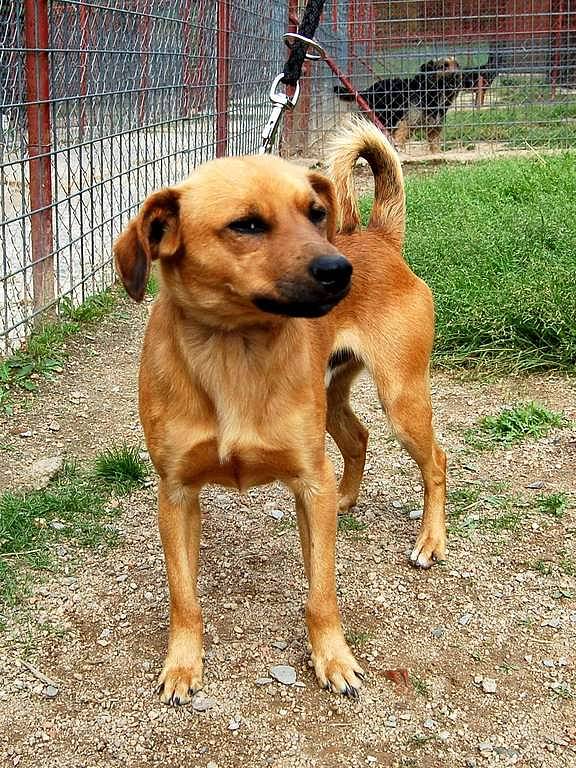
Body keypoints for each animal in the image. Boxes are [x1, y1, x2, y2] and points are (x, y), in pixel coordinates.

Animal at [112, 117, 446, 704]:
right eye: (246, 225)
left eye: (315, 213)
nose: (340, 270)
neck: (235, 350)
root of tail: (376, 238)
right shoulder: (176, 494)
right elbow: (183, 596)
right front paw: (182, 664)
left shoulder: (308, 479)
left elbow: (322, 592)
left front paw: (334, 659)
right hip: (332, 399)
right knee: (358, 438)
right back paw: (347, 498)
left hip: (402, 397)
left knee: (436, 463)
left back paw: (430, 541)